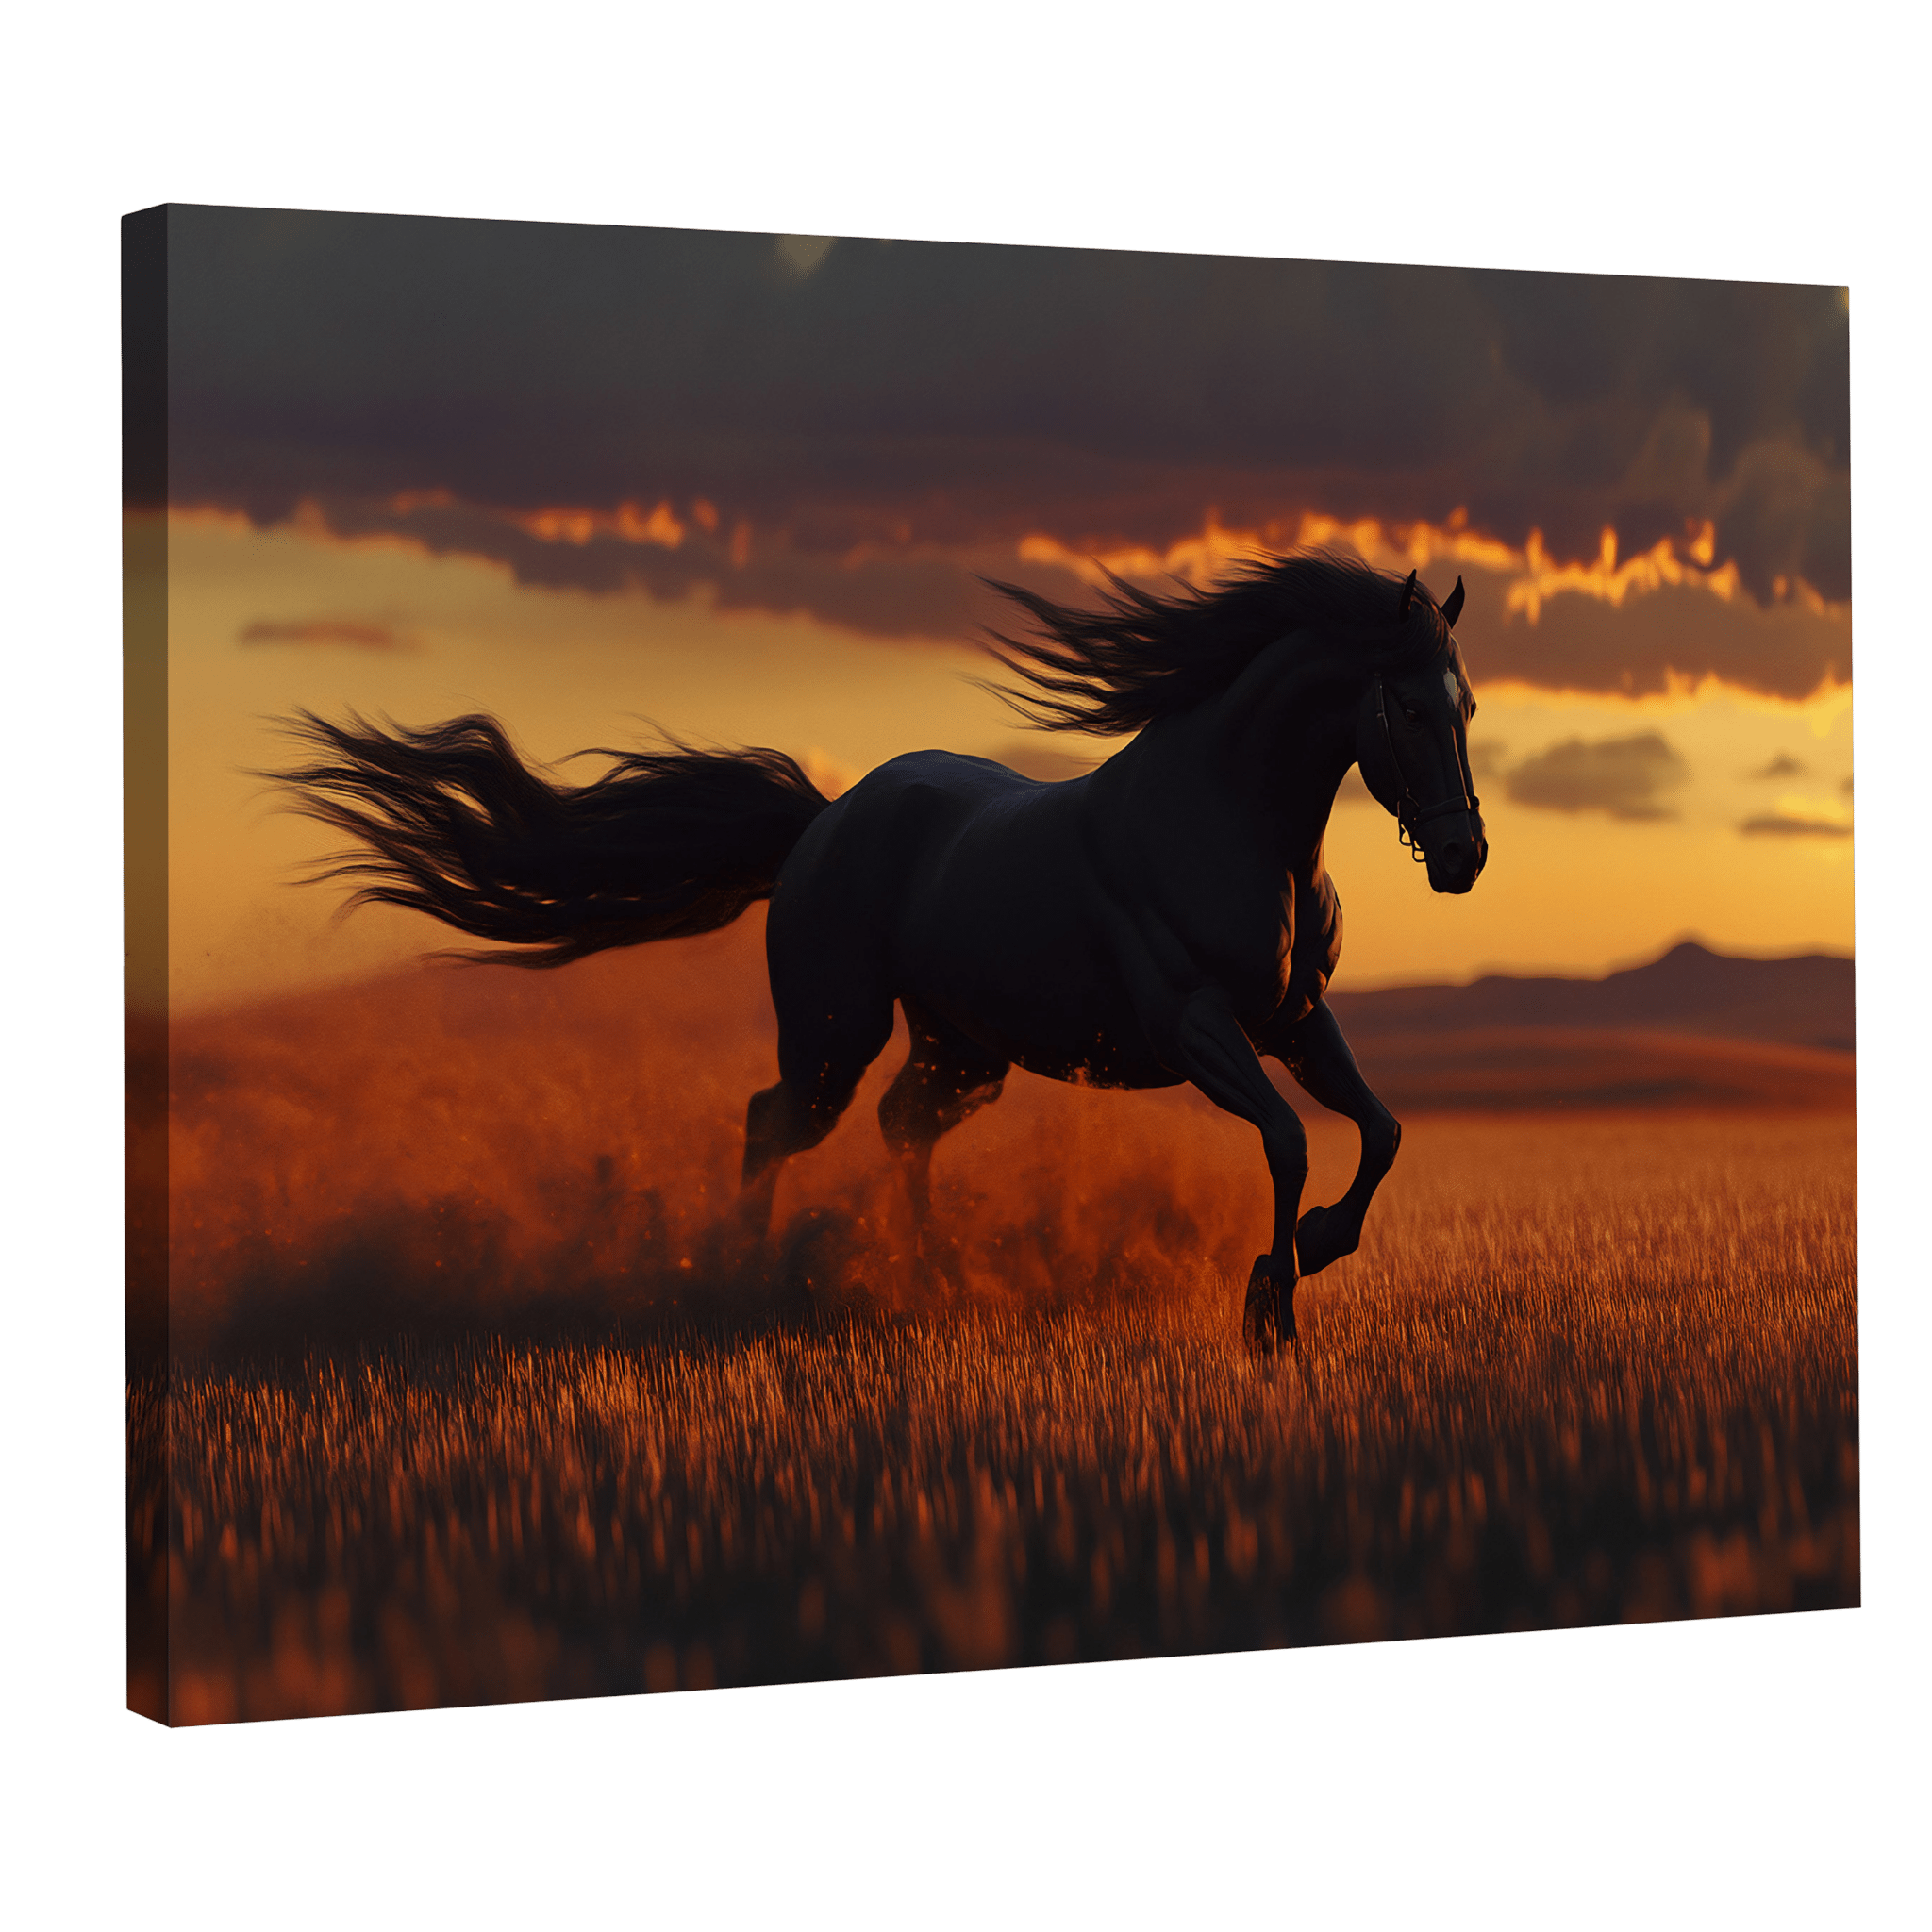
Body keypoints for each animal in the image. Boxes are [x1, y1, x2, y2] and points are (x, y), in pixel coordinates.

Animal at [275, 549, 1486, 1350]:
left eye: (1467, 702)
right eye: (1404, 703)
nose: (1463, 857)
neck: (1226, 821)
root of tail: (820, 820)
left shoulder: (1295, 1019)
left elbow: (1377, 1129)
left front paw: (1313, 1249)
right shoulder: (1197, 1025)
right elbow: (1287, 1138)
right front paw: (1271, 1298)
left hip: (963, 1051)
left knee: (904, 1126)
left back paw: (935, 1276)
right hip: (835, 1035)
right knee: (774, 1120)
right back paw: (742, 1277)